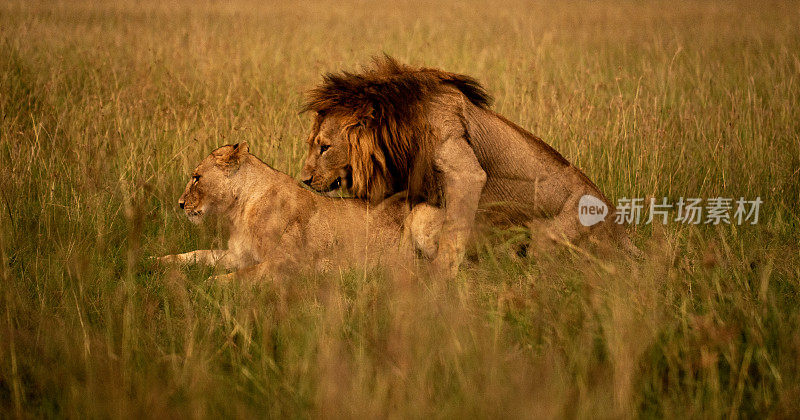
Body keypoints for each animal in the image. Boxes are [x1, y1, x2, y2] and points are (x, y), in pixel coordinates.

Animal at [159, 142, 440, 278]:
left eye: (196, 178)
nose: (180, 204)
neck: (238, 210)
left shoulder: (287, 261)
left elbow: (240, 276)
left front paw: (209, 285)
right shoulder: (239, 255)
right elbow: (196, 254)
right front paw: (157, 262)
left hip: (421, 215)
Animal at [298, 56, 636, 276]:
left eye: (324, 147)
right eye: (312, 142)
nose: (304, 179)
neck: (395, 127)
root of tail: (619, 225)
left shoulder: (462, 165)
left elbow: (452, 235)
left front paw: (438, 283)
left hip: (557, 233)